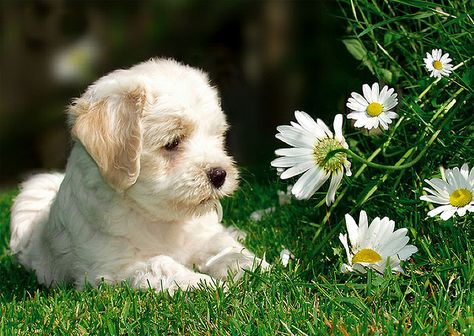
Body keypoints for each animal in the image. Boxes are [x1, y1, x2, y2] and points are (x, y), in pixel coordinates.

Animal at [9, 57, 266, 292]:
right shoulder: (115, 268)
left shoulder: (202, 233)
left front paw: (247, 264)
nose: (219, 175)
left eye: (217, 136)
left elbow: (219, 243)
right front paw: (203, 284)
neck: (159, 220)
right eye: (172, 143)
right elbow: (161, 265)